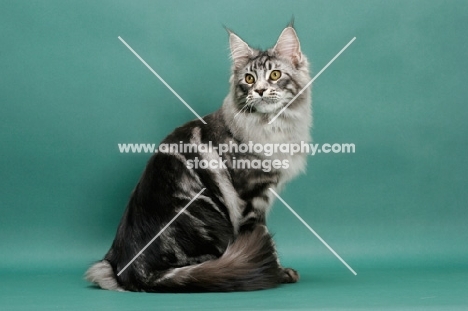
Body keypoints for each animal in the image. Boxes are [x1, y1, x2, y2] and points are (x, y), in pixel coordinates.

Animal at [86, 23, 312, 292]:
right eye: (249, 79)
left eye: (275, 75)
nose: (259, 90)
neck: (273, 127)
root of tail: (134, 272)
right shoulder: (252, 197)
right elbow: (263, 237)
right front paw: (279, 272)